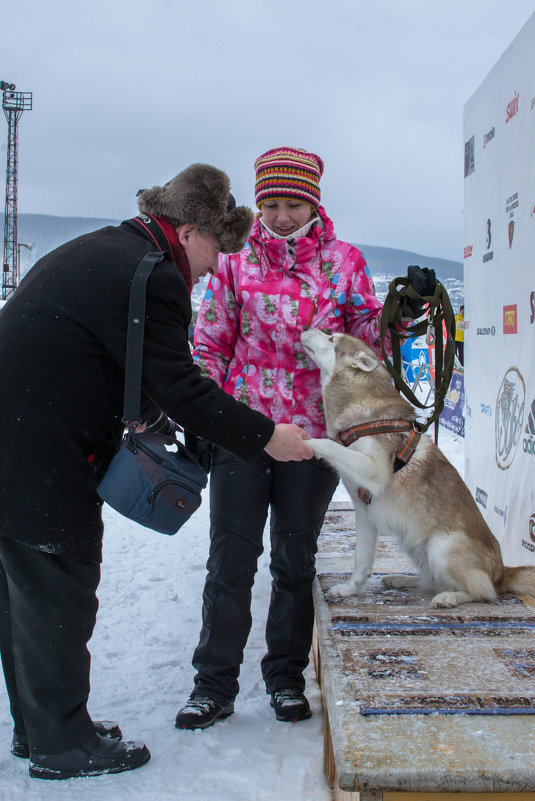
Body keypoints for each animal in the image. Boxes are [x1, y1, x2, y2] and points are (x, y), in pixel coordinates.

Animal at [302, 328, 535, 608]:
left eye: (331, 339)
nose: (306, 328)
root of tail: (501, 571)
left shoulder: (375, 471)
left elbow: (329, 445)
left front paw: (307, 442)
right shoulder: (365, 514)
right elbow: (362, 562)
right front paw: (349, 590)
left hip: (440, 546)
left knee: (483, 591)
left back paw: (449, 597)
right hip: (414, 544)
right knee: (431, 580)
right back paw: (401, 579)